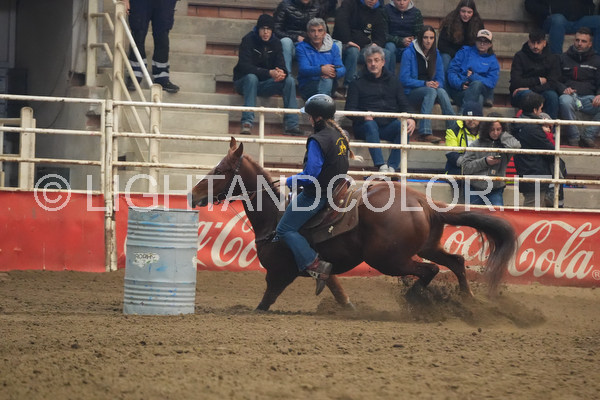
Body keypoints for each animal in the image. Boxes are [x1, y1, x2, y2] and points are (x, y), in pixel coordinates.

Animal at [189, 137, 517, 311]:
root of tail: (424, 203)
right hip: (427, 245)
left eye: (220, 169)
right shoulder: (324, 268)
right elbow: (337, 290)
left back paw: (416, 300)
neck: (274, 215)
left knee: (430, 270)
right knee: (456, 261)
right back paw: (468, 301)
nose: (193, 194)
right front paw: (346, 307)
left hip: (388, 259)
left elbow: (263, 305)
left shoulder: (279, 274)